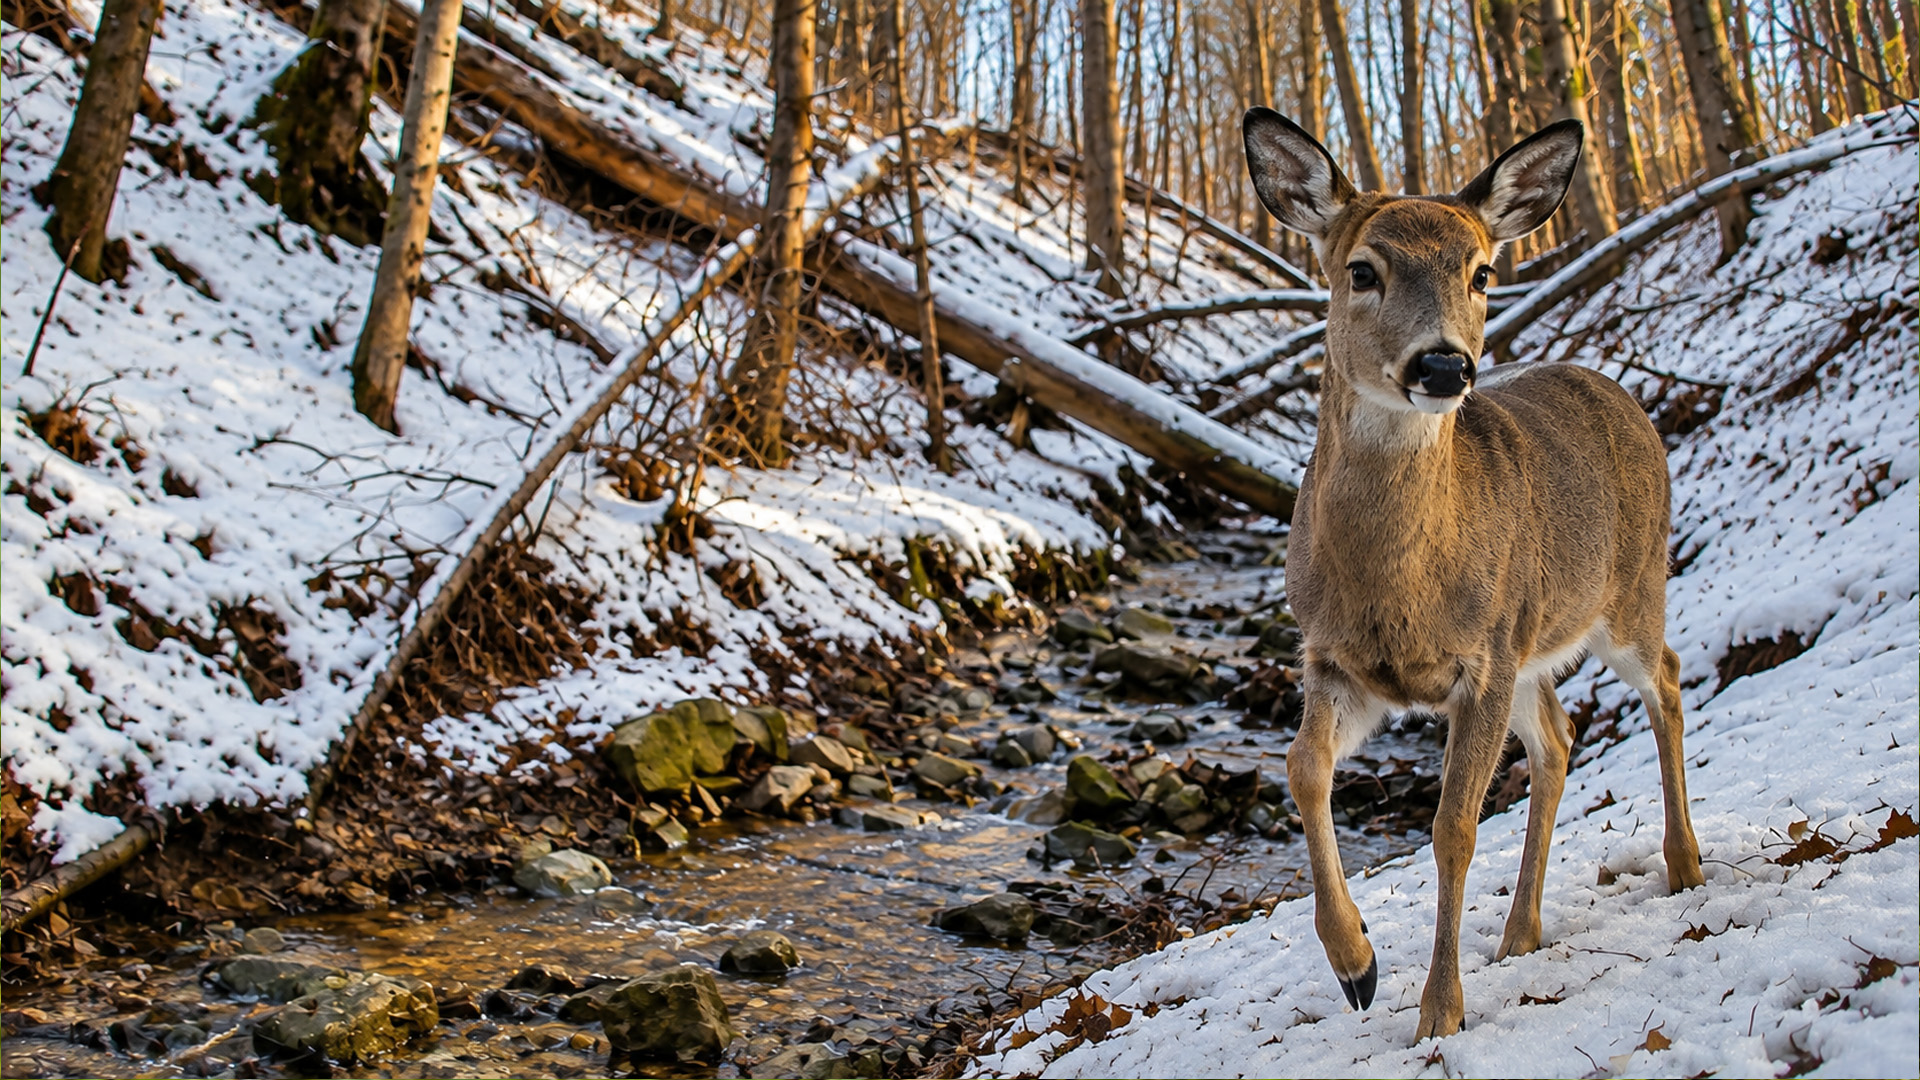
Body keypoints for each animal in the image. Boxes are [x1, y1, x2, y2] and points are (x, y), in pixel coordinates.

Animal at [1239, 107, 1705, 1042]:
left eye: (1483, 270)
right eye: (1362, 269)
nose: (1444, 365)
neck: (1397, 586)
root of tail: (1622, 392)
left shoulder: (1480, 661)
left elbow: (1453, 827)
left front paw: (1439, 1013)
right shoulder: (1339, 660)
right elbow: (1302, 767)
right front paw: (1356, 965)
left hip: (1628, 591)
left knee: (1668, 680)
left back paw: (1685, 864)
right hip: (1531, 645)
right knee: (1560, 735)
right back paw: (1522, 932)